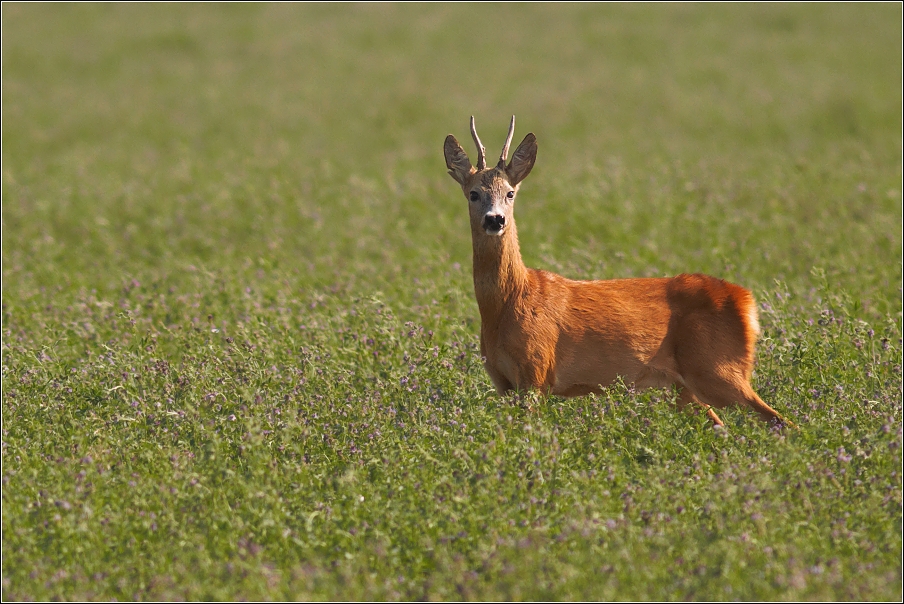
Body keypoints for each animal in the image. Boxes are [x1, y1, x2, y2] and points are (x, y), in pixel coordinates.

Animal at [444, 115, 792, 428]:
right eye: (474, 193)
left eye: (510, 192)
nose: (495, 219)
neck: (509, 303)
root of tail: (746, 301)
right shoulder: (503, 383)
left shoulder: (536, 372)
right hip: (685, 388)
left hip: (718, 368)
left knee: (781, 421)